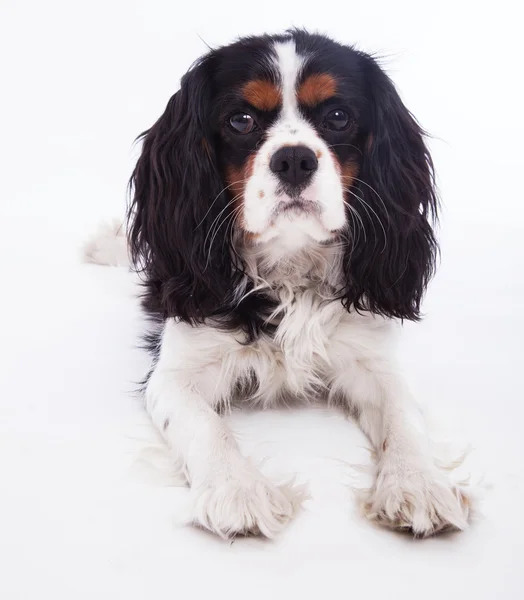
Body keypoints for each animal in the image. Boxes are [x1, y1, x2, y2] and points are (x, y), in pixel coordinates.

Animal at [85, 29, 470, 540]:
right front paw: (237, 491)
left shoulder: (373, 359)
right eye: (241, 120)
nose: (294, 159)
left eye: (338, 117)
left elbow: (404, 417)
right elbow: (206, 426)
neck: (289, 266)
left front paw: (418, 484)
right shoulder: (175, 373)